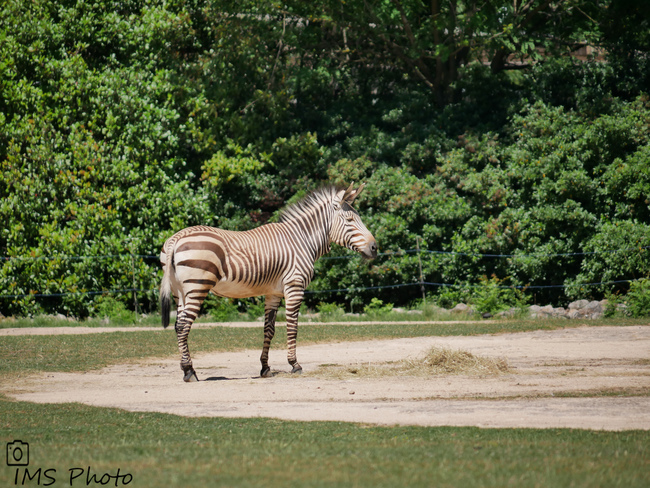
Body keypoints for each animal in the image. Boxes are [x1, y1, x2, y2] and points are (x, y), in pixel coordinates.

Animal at [159, 182, 378, 382]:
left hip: (180, 292)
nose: (375, 248)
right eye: (350, 220)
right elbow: (292, 326)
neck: (302, 239)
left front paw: (265, 368)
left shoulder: (273, 292)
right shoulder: (294, 287)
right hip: (197, 286)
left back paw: (186, 369)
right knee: (184, 325)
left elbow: (269, 329)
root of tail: (175, 238)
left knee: (178, 324)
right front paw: (295, 365)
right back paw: (189, 372)